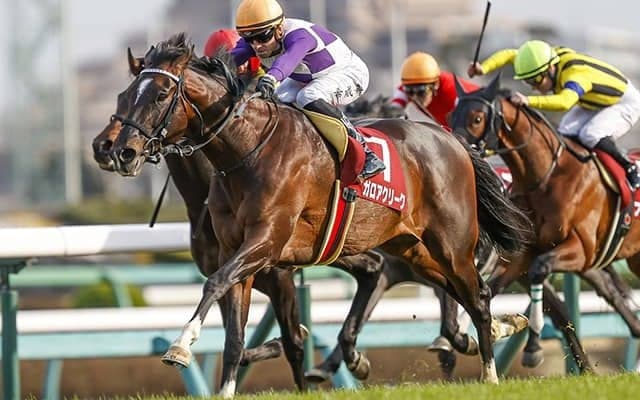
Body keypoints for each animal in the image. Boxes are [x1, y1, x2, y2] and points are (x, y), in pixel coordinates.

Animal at [106, 33, 533, 385]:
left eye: (161, 95)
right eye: (124, 95)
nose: (120, 150)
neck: (246, 150)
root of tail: (453, 141)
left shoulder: (268, 246)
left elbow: (223, 291)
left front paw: (180, 346)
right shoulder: (238, 256)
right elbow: (234, 339)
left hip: (451, 243)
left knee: (476, 296)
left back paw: (490, 373)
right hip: (414, 250)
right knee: (462, 293)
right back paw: (500, 329)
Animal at [450, 73, 640, 369]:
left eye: (477, 118)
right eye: (451, 115)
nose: (457, 152)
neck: (546, 176)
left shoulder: (581, 250)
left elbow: (540, 271)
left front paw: (533, 349)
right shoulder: (523, 254)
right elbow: (491, 289)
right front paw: (473, 333)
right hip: (635, 259)